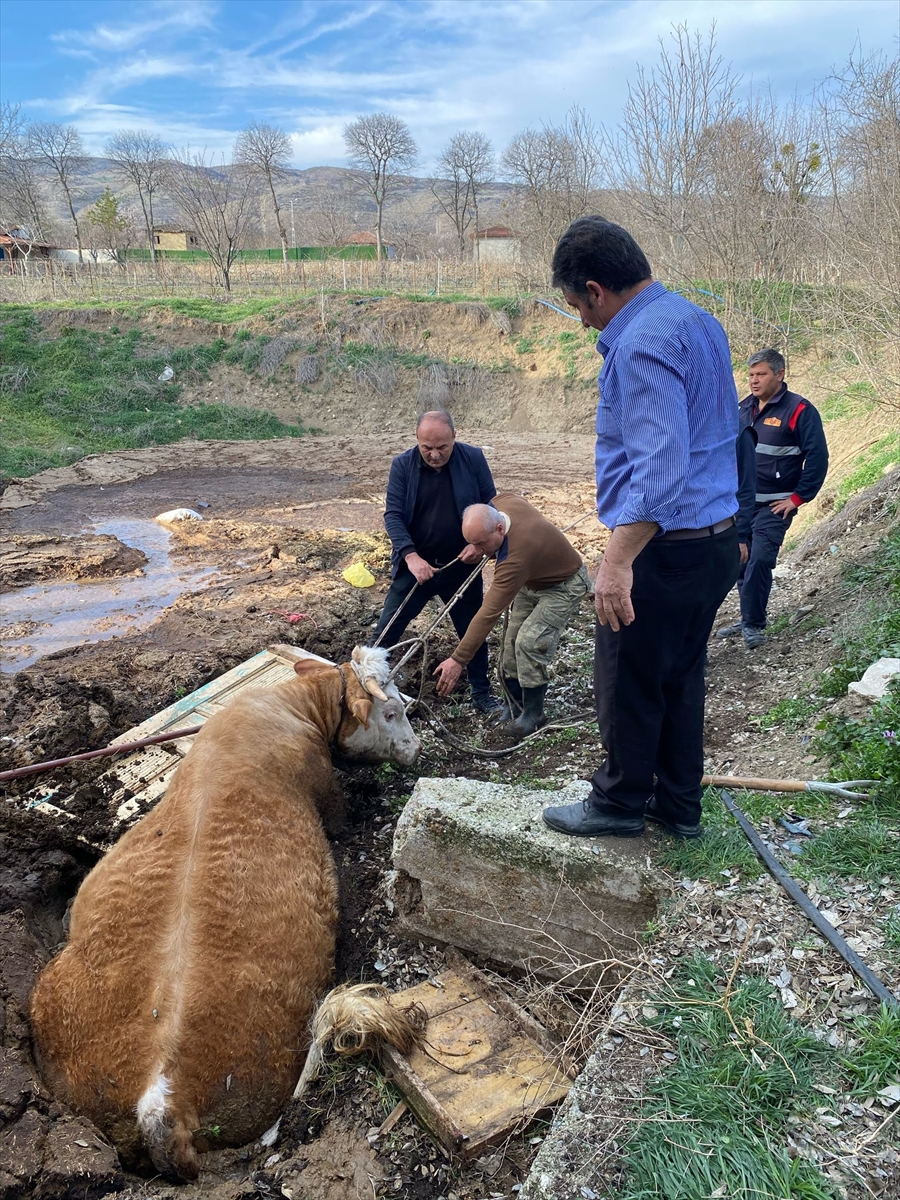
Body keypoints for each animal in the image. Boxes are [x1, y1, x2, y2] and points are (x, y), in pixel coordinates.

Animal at [30, 648, 422, 1180]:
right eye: (392, 710)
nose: (417, 749)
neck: (288, 705)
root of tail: (162, 1106)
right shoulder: (326, 791)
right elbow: (342, 814)